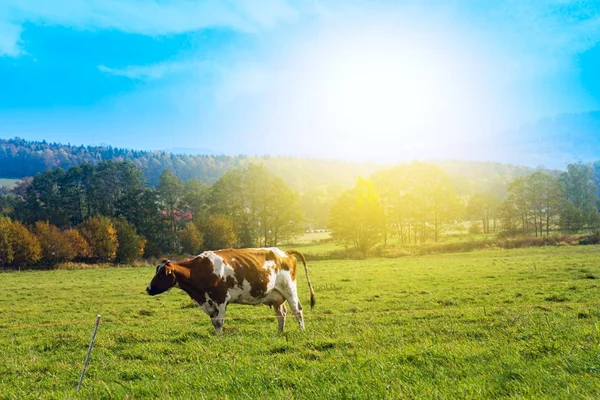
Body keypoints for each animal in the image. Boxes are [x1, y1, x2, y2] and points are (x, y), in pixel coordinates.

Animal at [146, 248, 314, 332]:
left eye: (162, 274)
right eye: (156, 271)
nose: (148, 289)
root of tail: (285, 251)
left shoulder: (220, 299)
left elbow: (219, 322)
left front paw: (219, 338)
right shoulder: (209, 302)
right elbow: (214, 323)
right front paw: (216, 337)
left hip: (289, 288)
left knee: (297, 310)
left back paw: (301, 331)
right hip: (276, 295)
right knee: (282, 313)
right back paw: (280, 332)